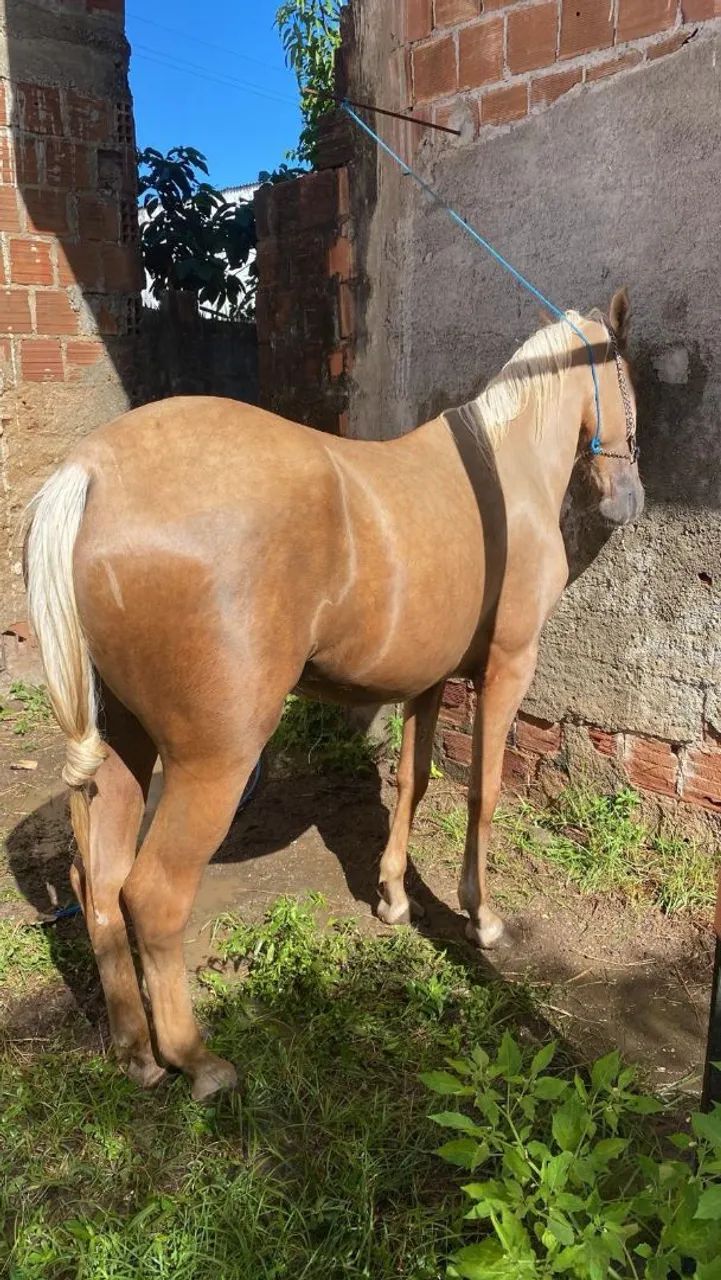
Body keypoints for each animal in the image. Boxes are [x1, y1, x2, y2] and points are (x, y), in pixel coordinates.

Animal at [25, 289, 643, 1101]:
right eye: (631, 387)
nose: (629, 499)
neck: (499, 473)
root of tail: (91, 471)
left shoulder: (427, 681)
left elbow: (412, 780)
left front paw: (393, 898)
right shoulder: (509, 667)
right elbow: (482, 791)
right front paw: (481, 919)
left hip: (122, 745)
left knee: (97, 881)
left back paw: (137, 1052)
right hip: (213, 763)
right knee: (151, 896)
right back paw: (198, 1059)